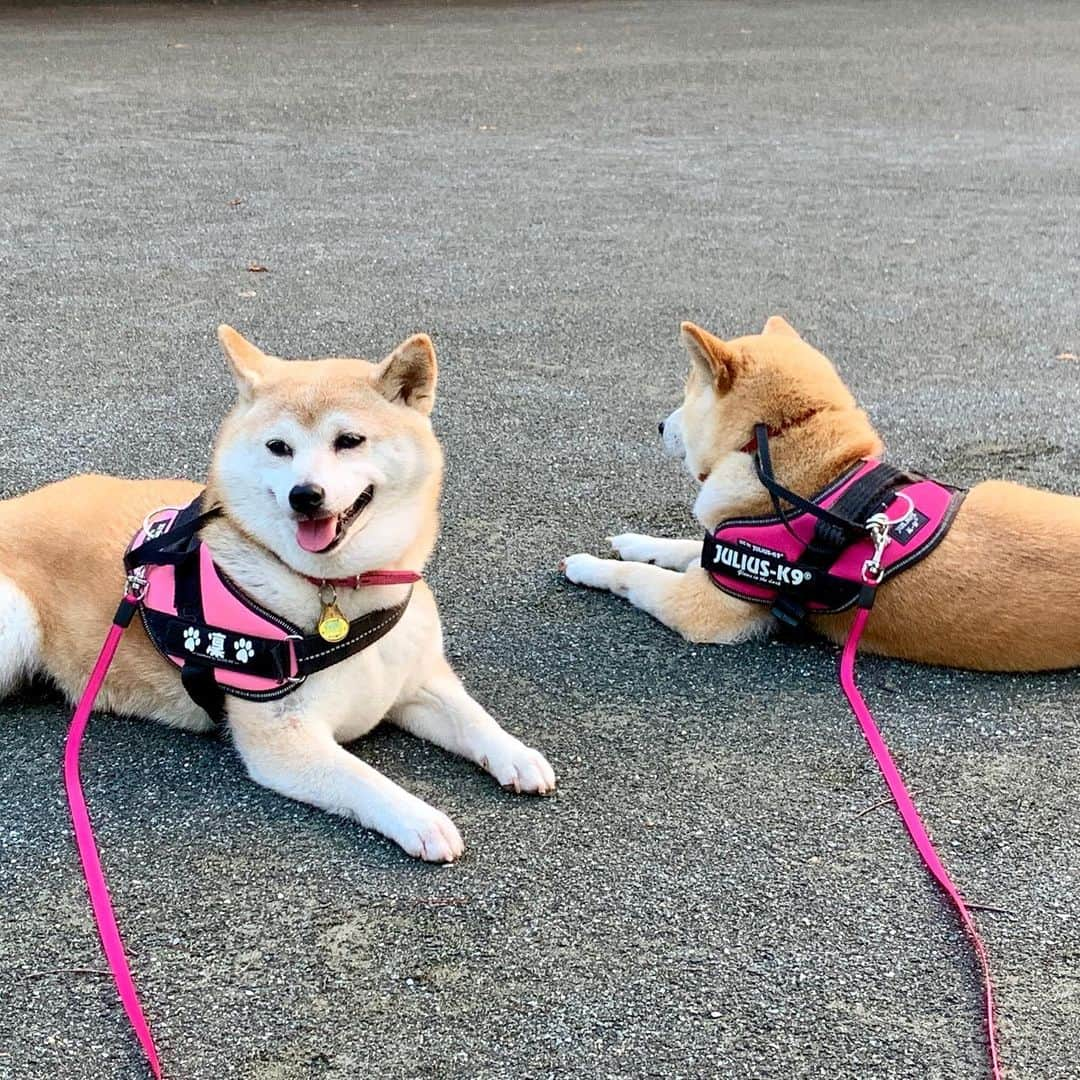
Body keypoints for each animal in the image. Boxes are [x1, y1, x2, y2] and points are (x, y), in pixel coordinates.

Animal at [0, 324, 552, 864]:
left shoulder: (416, 683)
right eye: (278, 447)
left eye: (349, 440)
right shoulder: (284, 739)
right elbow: (365, 781)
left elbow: (473, 719)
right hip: (16, 621)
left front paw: (516, 754)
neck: (337, 593)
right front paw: (420, 819)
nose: (305, 495)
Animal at [565, 315, 1080, 669]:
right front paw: (636, 541)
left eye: (689, 394)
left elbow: (635, 578)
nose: (658, 426)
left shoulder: (708, 605)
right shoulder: (724, 546)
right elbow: (683, 546)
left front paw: (589, 566)